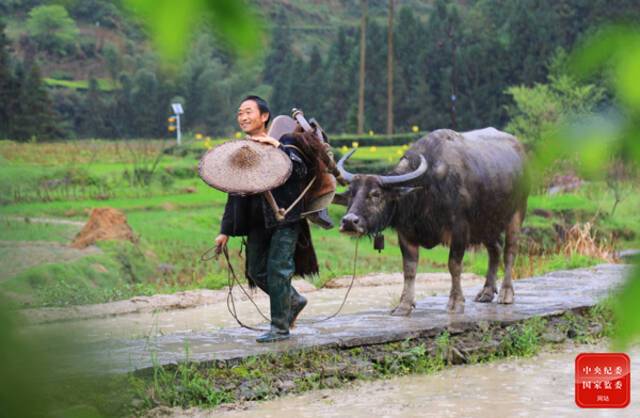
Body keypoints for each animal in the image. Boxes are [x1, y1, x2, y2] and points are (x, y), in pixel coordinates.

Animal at [338, 127, 528, 314]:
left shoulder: (460, 229)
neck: (425, 190)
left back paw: (506, 293)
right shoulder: (406, 233)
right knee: (495, 250)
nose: (349, 221)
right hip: (487, 223)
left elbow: (454, 265)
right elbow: (409, 269)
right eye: (351, 192)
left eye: (376, 194)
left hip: (516, 214)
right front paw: (404, 305)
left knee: (510, 251)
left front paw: (456, 302)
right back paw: (487, 292)